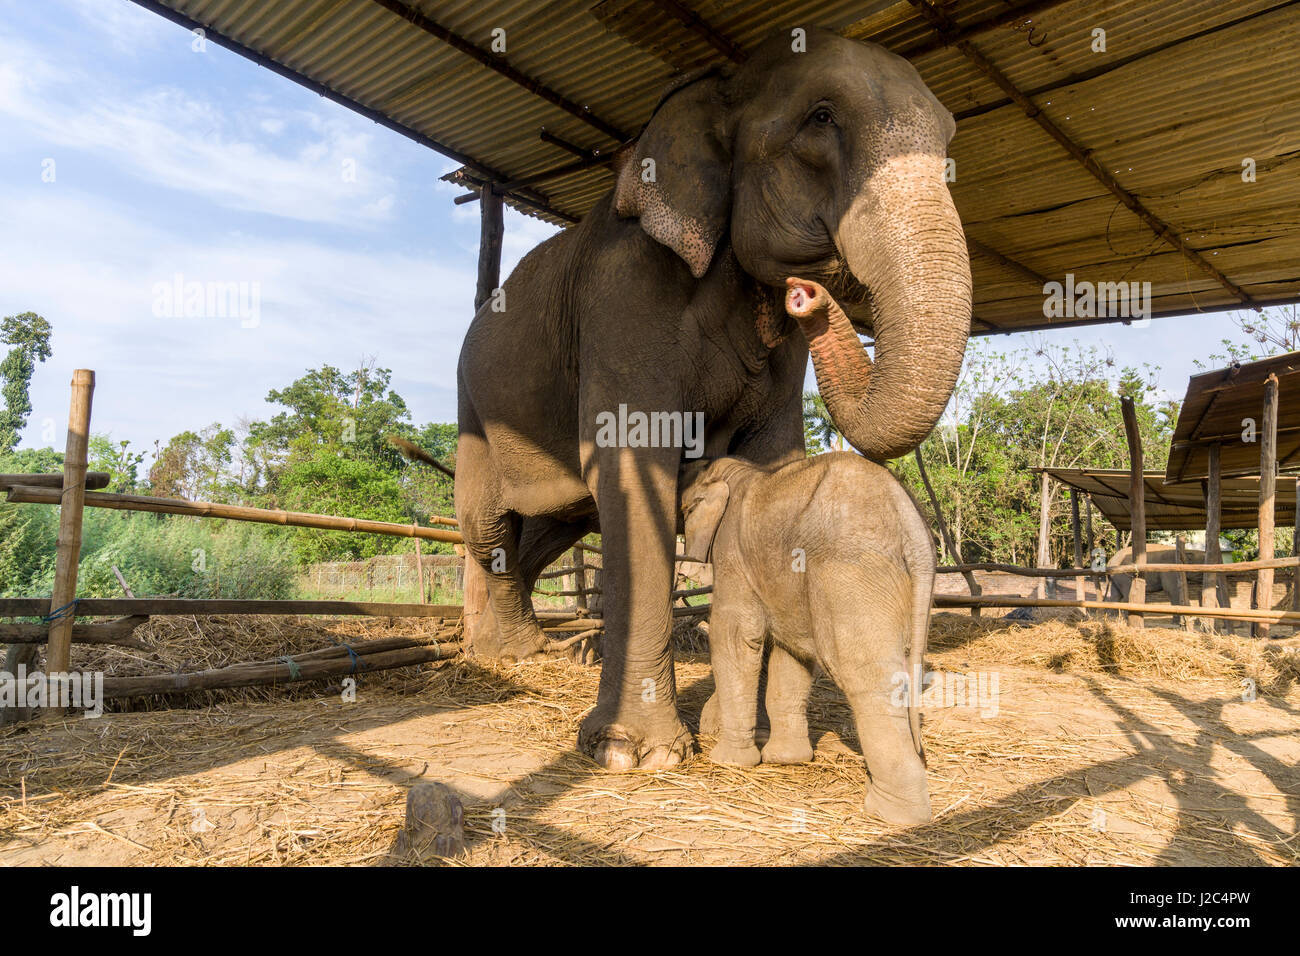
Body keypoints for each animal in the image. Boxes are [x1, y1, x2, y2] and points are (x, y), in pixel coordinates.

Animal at [455, 27, 971, 771]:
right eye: (821, 119)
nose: (809, 292)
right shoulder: (624, 291)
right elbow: (632, 468)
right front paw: (634, 755)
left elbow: (773, 461)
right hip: (472, 399)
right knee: (489, 525)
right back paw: (514, 655)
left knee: (555, 523)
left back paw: (535, 648)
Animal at [679, 451, 934, 825]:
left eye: (684, 511)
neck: (736, 473)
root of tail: (909, 517)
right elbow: (792, 650)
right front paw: (786, 760)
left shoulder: (732, 553)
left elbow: (737, 636)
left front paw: (728, 762)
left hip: (850, 571)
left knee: (865, 675)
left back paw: (890, 814)